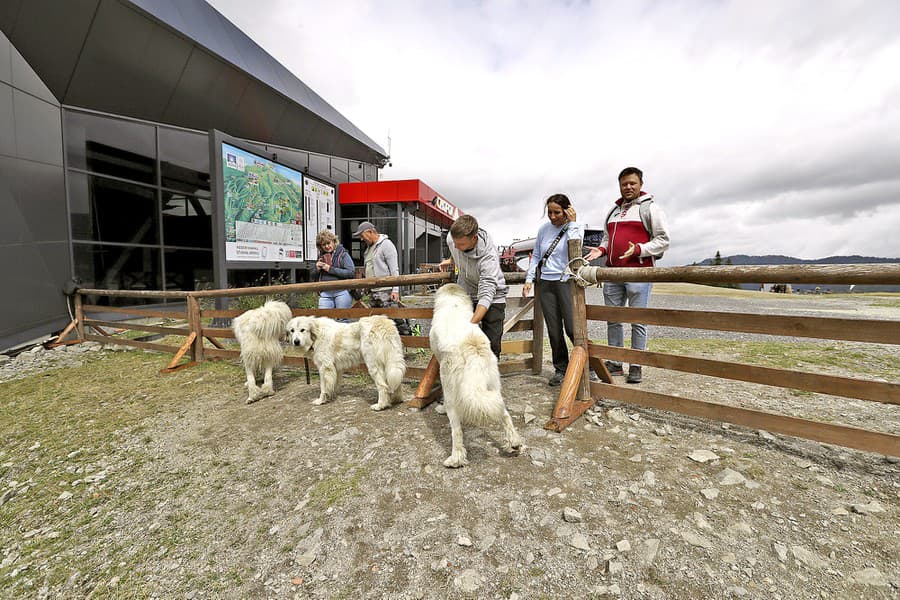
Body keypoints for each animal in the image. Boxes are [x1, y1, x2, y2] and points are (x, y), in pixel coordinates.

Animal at [430, 284, 524, 466]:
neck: (453, 303)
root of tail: (472, 346)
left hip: (450, 387)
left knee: (456, 429)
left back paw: (455, 459)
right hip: (493, 386)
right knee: (504, 414)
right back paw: (514, 443)